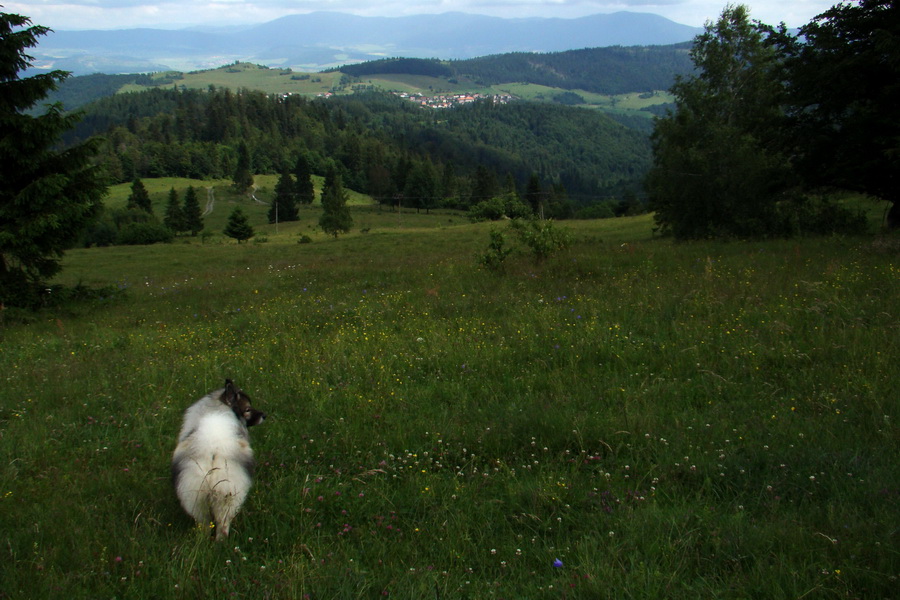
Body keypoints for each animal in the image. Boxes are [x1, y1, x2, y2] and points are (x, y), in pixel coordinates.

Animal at [171, 380, 266, 540]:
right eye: (247, 409)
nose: (264, 415)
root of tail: (212, 454)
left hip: (195, 496)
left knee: (204, 523)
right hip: (228, 496)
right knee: (223, 524)